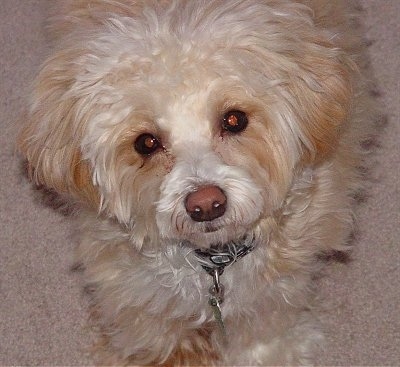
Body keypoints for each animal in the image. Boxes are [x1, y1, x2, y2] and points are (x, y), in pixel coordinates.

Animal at [17, 0, 376, 366]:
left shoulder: (275, 289)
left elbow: (264, 329)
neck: (214, 261)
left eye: (234, 119)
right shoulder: (133, 292)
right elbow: (154, 335)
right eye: (146, 143)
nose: (206, 204)